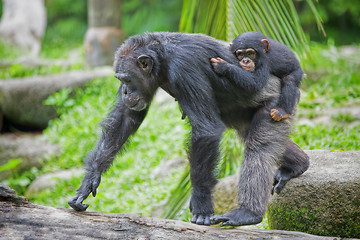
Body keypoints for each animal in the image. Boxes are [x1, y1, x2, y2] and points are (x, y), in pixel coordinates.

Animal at [68, 31, 310, 227]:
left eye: (127, 79)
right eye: (120, 80)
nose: (125, 91)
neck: (163, 59)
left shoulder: (184, 68)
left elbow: (206, 129)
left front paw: (201, 204)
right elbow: (124, 120)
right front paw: (88, 182)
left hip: (275, 104)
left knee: (259, 148)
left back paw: (248, 213)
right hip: (244, 115)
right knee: (258, 139)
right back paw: (298, 165)